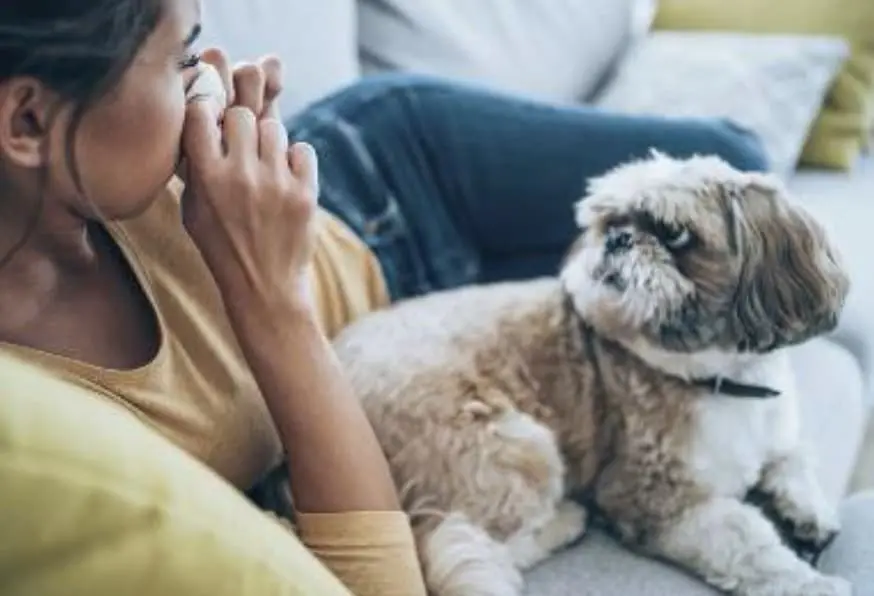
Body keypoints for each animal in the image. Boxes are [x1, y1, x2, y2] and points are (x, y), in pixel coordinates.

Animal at [330, 154, 848, 596]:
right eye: (609, 223)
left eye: (674, 235)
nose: (617, 239)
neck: (723, 381)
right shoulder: (650, 496)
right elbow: (747, 540)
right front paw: (808, 581)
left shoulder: (777, 430)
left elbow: (794, 459)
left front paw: (811, 511)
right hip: (516, 449)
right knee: (477, 545)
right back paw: (567, 521)